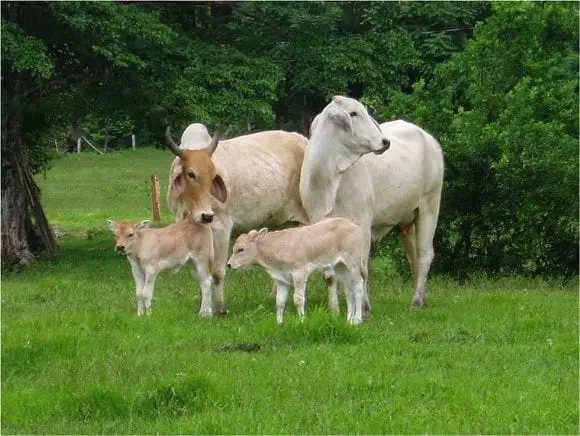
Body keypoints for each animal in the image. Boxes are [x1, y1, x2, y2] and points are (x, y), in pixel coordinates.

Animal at [228, 217, 368, 324]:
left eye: (241, 249)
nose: (229, 264)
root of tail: (353, 225)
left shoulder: (300, 272)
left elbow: (298, 299)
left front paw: (302, 321)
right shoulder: (281, 279)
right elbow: (280, 302)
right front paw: (279, 323)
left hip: (353, 263)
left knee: (358, 286)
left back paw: (357, 320)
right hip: (340, 267)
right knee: (349, 291)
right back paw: (349, 319)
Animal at [300, 96, 444, 306]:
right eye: (353, 113)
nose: (385, 141)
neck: (328, 178)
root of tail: (429, 139)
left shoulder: (363, 224)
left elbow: (361, 270)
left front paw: (364, 306)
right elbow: (330, 275)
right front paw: (334, 307)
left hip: (429, 207)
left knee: (425, 254)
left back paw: (417, 301)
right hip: (408, 220)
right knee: (414, 257)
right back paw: (422, 298)